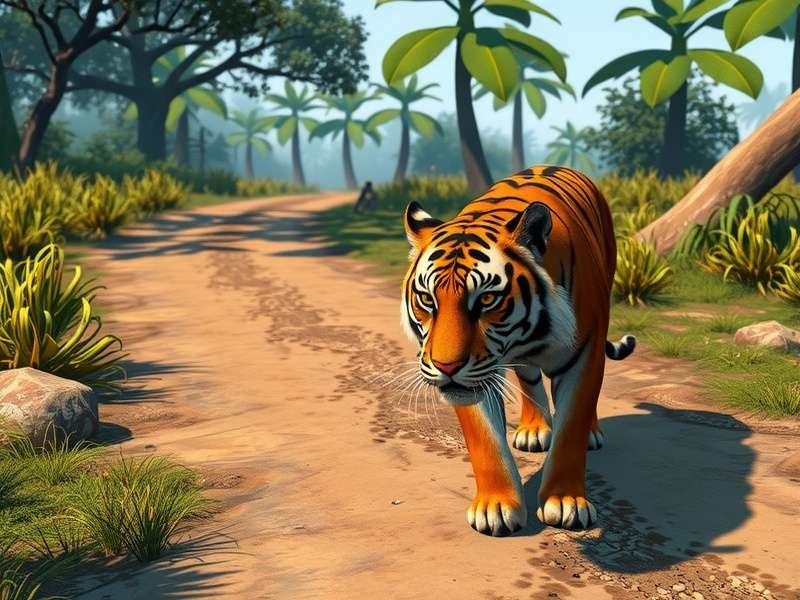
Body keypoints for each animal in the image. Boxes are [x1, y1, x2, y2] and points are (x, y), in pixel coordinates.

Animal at [400, 165, 636, 536]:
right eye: (427, 299)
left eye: (486, 299)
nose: (446, 366)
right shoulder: (473, 380)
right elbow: (485, 440)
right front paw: (495, 506)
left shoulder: (584, 354)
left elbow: (571, 427)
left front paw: (565, 501)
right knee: (528, 377)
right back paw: (534, 431)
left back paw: (592, 433)